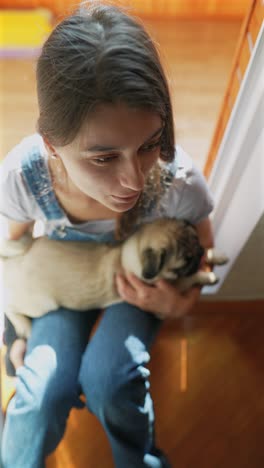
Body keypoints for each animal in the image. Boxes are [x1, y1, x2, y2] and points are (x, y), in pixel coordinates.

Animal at [0, 218, 227, 338]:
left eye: (197, 241)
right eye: (183, 263)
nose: (197, 255)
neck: (129, 252)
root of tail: (10, 262)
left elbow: (208, 253)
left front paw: (216, 255)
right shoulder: (168, 284)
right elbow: (188, 279)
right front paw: (208, 276)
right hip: (41, 304)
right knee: (8, 306)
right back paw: (23, 325)